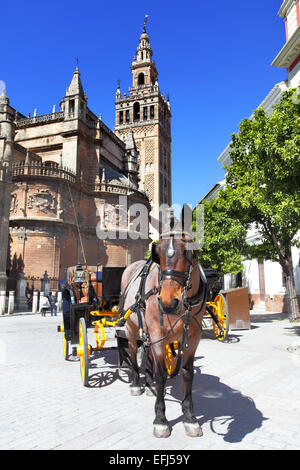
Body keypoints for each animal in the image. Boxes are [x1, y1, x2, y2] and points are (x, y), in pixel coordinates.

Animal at [119, 223, 206, 436]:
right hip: (131, 327)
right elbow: (162, 375)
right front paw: (160, 419)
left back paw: (148, 382)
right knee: (132, 352)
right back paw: (136, 383)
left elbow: (187, 374)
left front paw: (189, 417)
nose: (168, 302)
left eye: (187, 252)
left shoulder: (193, 338)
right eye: (157, 253)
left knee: (148, 352)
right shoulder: (158, 334)